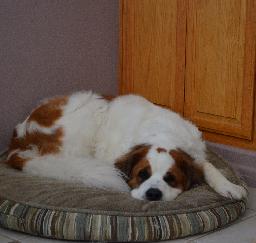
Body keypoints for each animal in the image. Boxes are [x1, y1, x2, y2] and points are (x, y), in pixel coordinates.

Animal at [5, 91, 246, 201]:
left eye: (170, 178)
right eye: (142, 174)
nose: (153, 193)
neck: (163, 135)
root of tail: (19, 134)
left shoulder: (194, 153)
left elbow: (208, 166)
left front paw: (228, 186)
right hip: (87, 113)